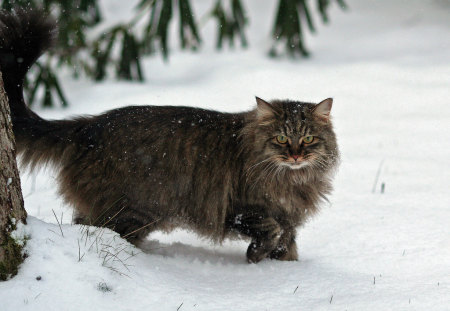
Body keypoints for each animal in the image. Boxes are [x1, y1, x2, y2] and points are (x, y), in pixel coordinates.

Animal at [0, 9, 338, 264]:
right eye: (281, 139)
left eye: (308, 139)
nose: (296, 154)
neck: (292, 180)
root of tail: (88, 125)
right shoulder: (241, 209)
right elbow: (270, 230)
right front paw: (256, 257)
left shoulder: (290, 217)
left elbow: (287, 242)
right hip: (133, 210)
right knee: (97, 233)